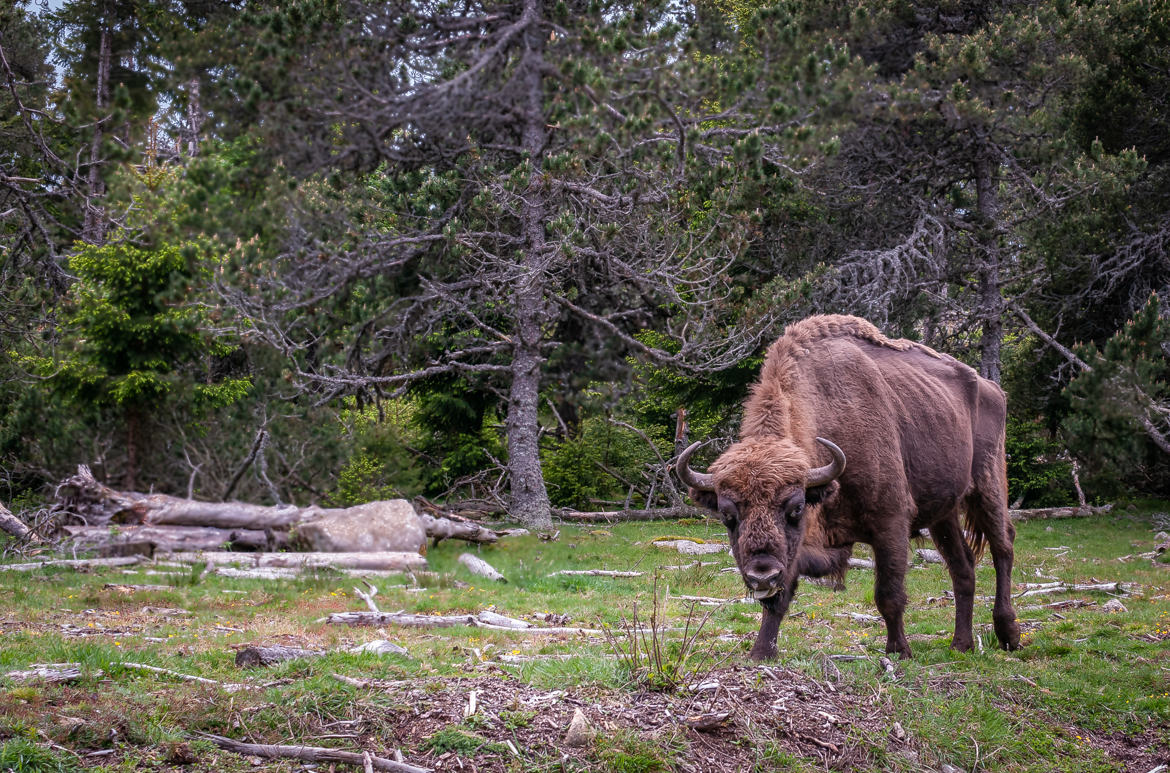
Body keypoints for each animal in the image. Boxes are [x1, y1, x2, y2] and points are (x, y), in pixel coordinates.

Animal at [683, 313, 1020, 659]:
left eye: (796, 508)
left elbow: (888, 593)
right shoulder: (800, 550)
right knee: (962, 567)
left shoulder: (890, 523)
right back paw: (961, 644)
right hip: (944, 512)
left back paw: (1009, 634)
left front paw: (899, 651)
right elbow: (780, 597)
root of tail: (991, 387)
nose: (762, 574)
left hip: (988, 484)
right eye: (727, 515)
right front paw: (761, 652)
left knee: (1003, 546)